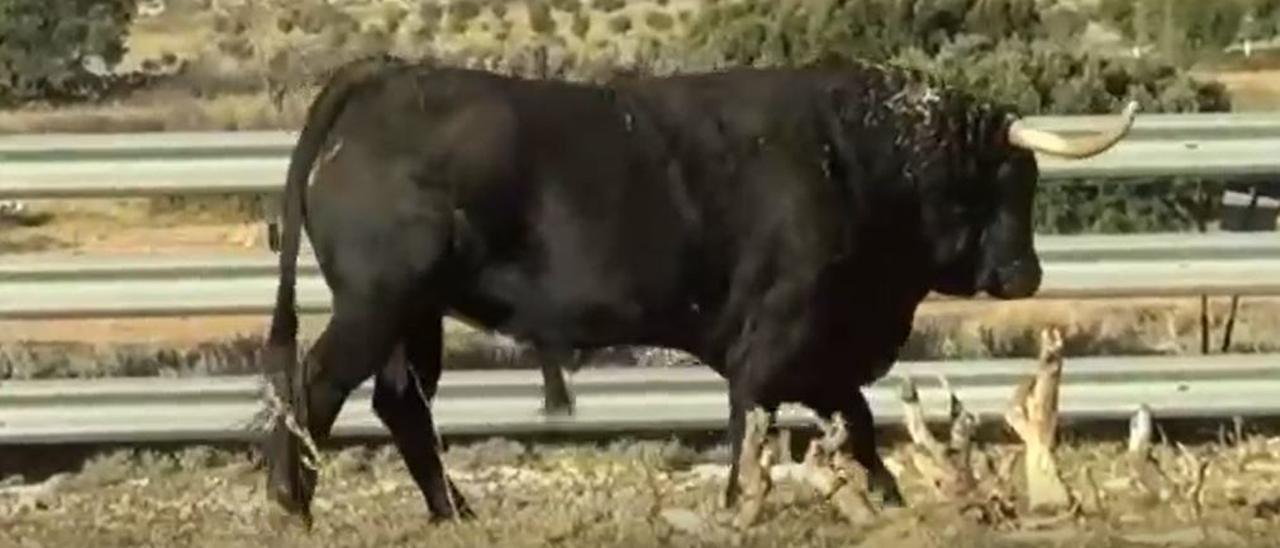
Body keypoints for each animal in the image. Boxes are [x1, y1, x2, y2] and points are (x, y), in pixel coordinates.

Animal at [262, 54, 1141, 522]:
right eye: (1006, 181)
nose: (1026, 274)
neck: (858, 162)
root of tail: (386, 74)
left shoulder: (819, 350)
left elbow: (855, 420)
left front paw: (887, 498)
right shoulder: (778, 338)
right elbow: (755, 421)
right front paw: (737, 503)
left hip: (415, 316)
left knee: (399, 403)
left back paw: (455, 511)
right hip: (377, 304)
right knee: (315, 388)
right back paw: (293, 504)